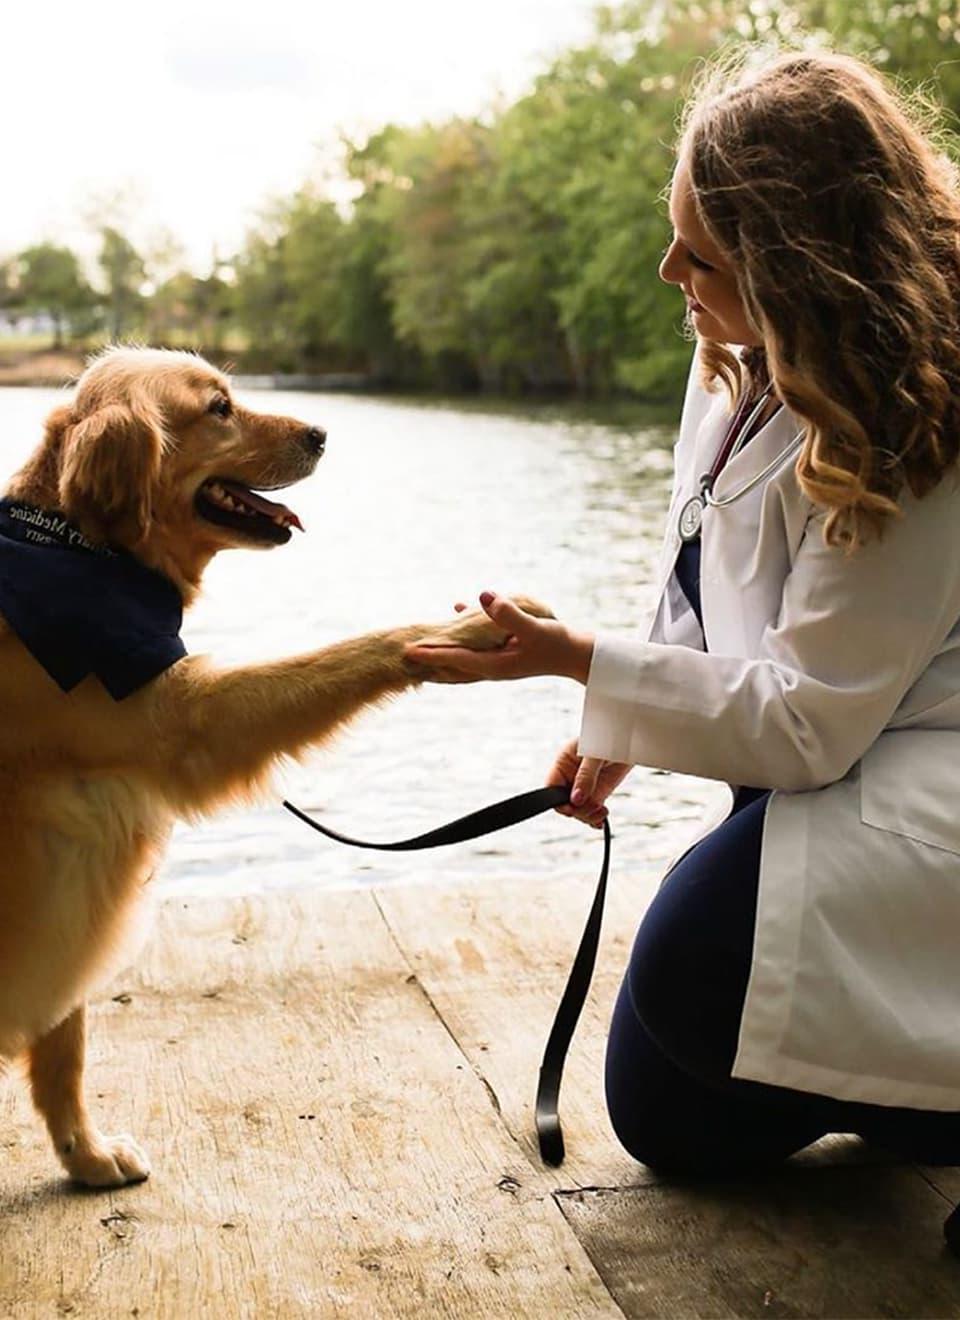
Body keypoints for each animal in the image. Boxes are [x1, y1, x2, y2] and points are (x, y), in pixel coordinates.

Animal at [0, 345, 541, 1193]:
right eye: (218, 407)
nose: (322, 432)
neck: (81, 549)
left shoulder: (78, 878)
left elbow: (66, 1046)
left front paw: (85, 1156)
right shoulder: (191, 727)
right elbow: (354, 649)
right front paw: (468, 631)